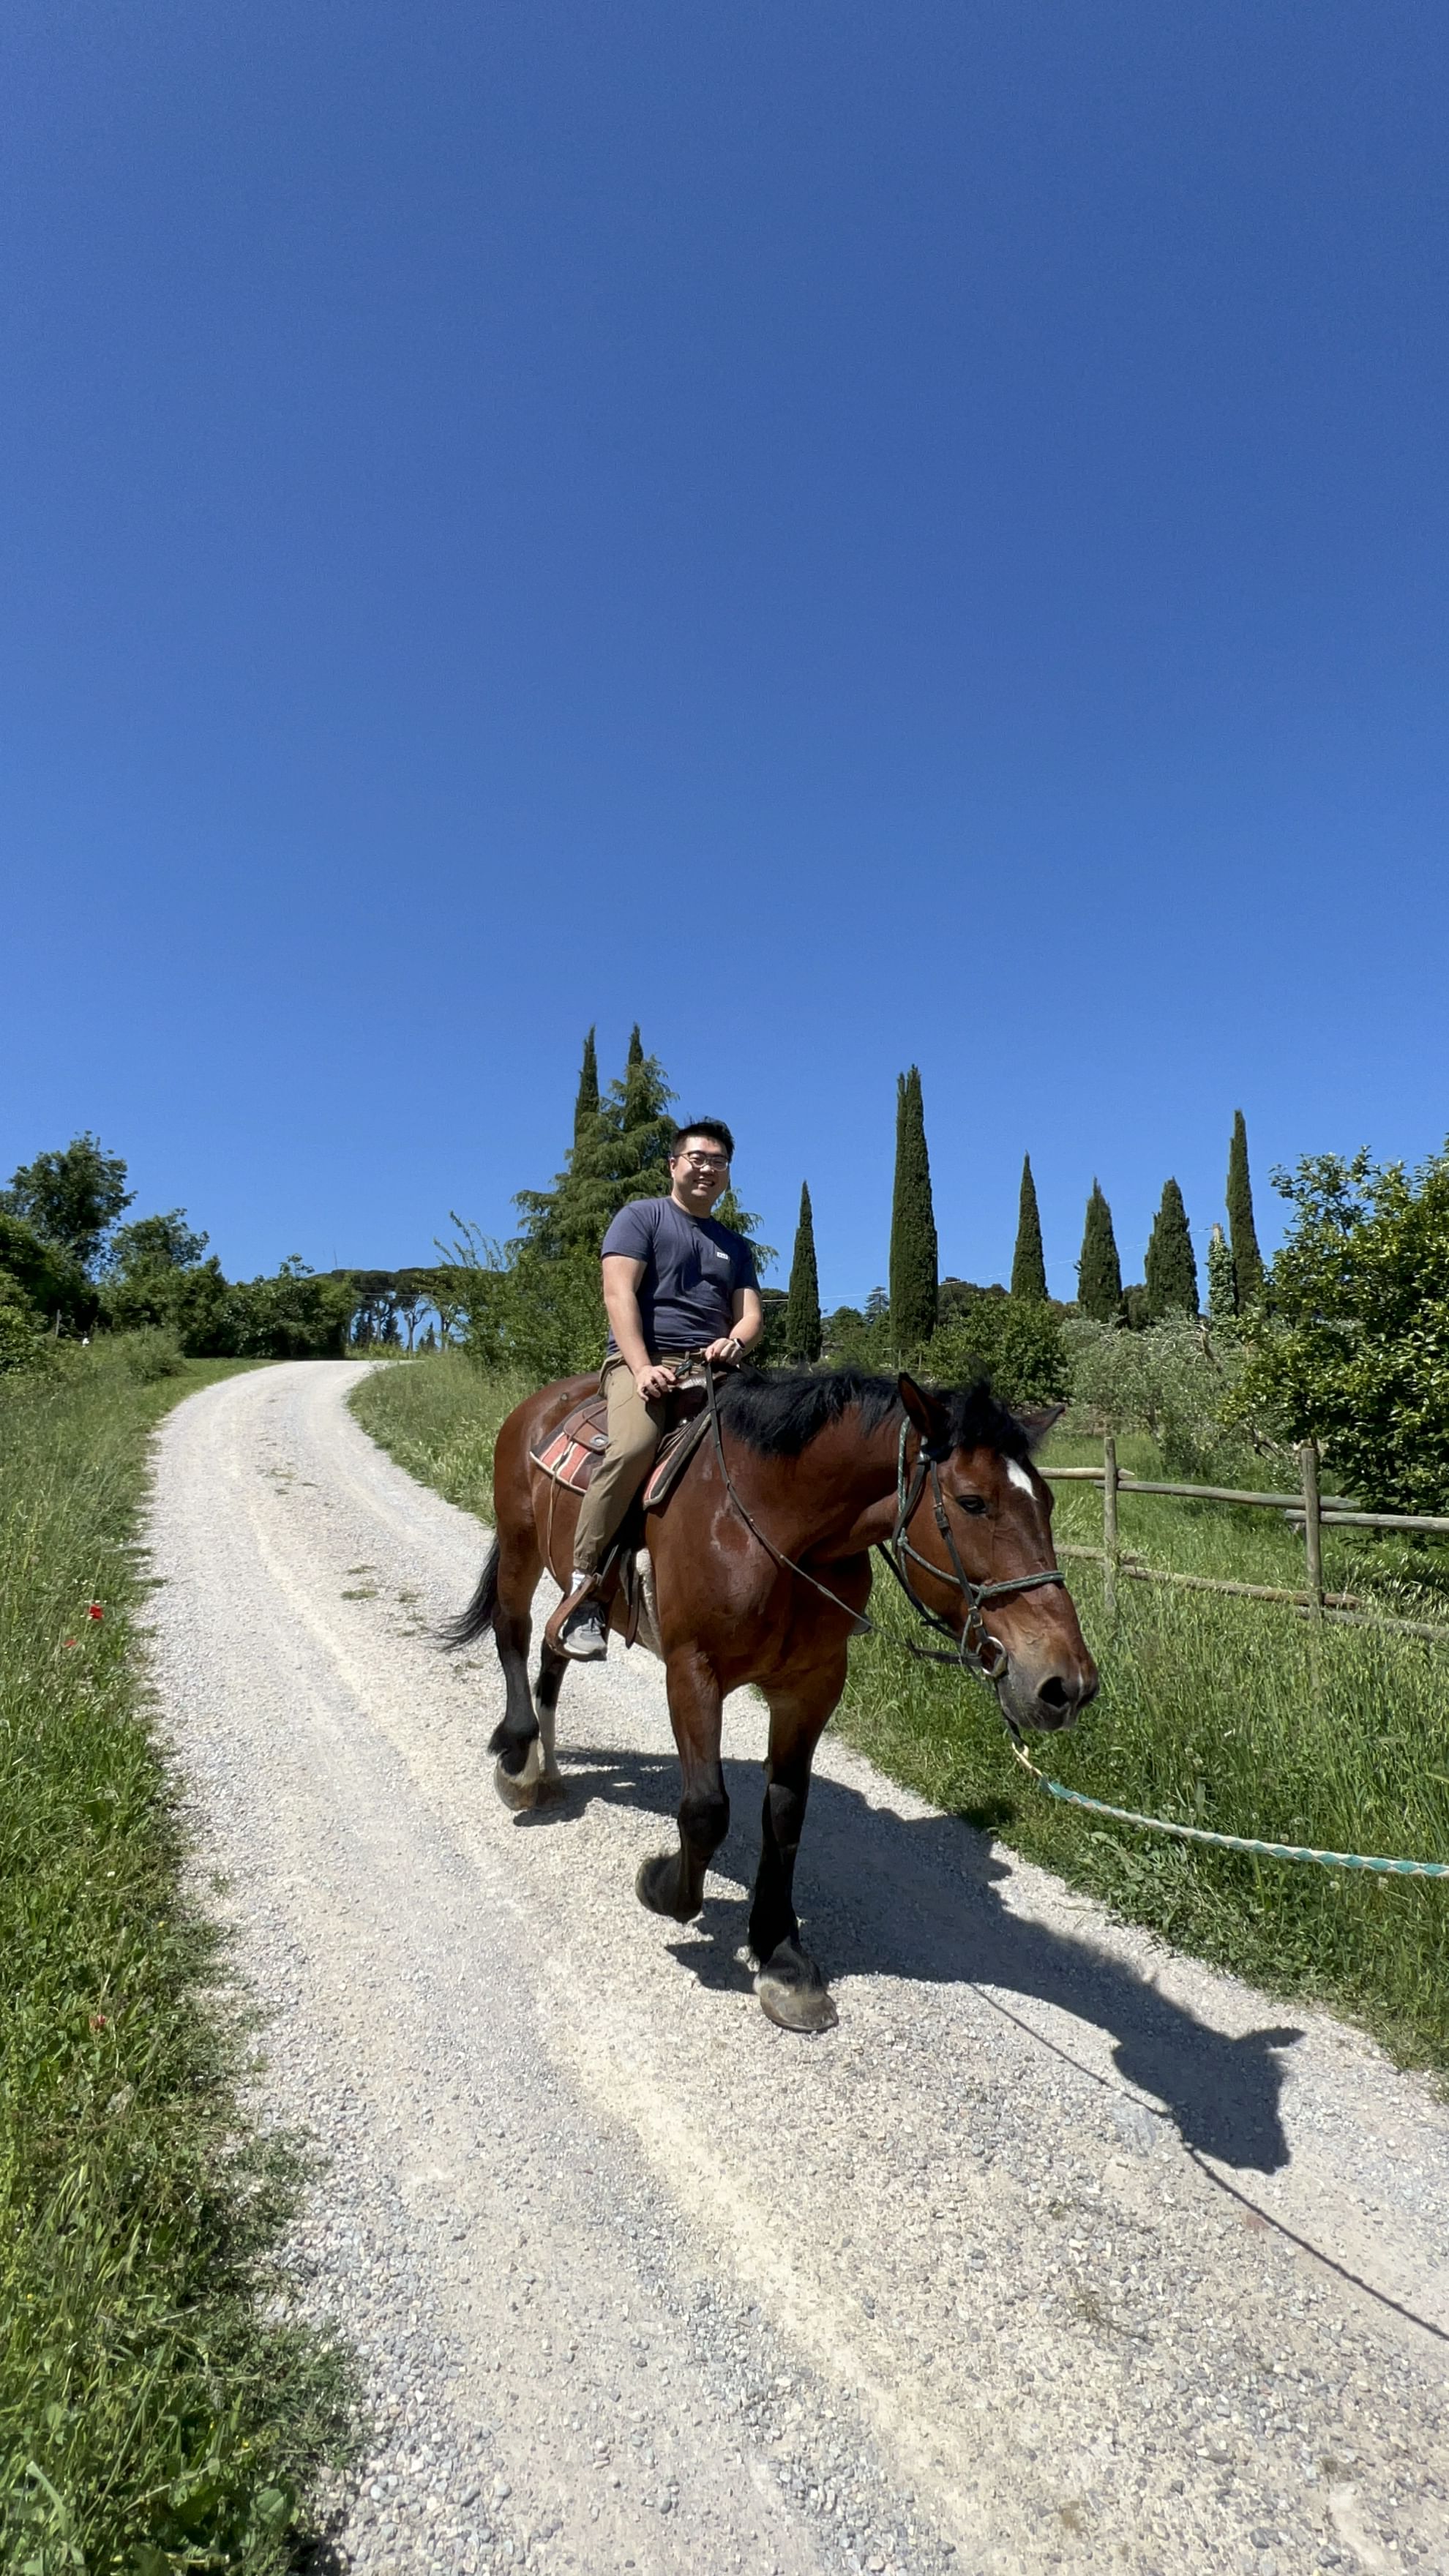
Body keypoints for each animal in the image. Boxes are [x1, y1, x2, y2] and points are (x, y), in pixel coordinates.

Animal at [446, 1364, 1098, 2032]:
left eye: (1046, 1502)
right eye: (972, 1503)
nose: (1065, 1685)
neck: (771, 1524)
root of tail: (544, 1403)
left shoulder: (811, 1684)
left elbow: (785, 1813)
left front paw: (781, 1957)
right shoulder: (693, 1671)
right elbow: (706, 1810)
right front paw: (661, 1886)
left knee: (556, 1649)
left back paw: (547, 1768)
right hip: (521, 1545)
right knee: (513, 1632)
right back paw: (519, 1763)